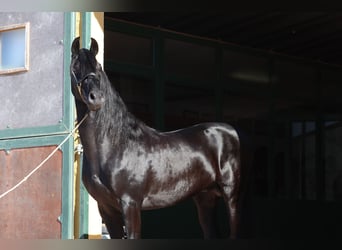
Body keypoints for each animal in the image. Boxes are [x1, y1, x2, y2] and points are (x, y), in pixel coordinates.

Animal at [70, 36, 240, 238]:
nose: (96, 98)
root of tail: (231, 131)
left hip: (231, 196)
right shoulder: (106, 208)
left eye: (97, 66)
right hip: (205, 198)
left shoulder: (130, 204)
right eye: (75, 66)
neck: (115, 146)